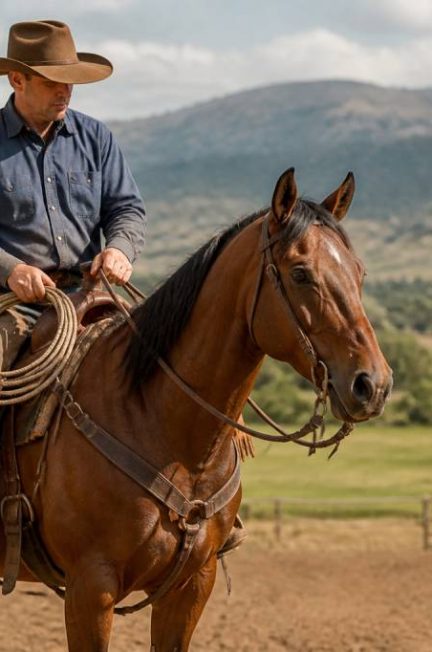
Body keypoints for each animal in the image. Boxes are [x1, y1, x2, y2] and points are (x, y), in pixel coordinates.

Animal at [0, 168, 392, 651]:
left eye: (359, 272)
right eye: (300, 273)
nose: (373, 384)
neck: (161, 423)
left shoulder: (192, 585)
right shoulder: (90, 589)